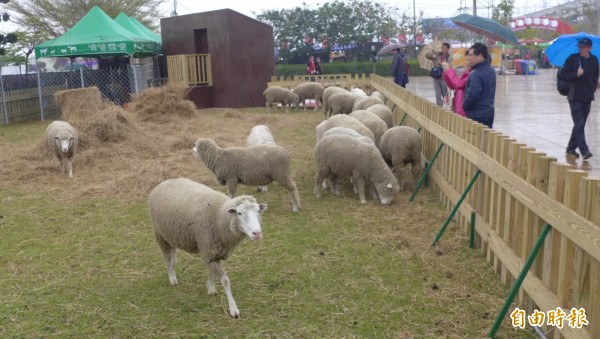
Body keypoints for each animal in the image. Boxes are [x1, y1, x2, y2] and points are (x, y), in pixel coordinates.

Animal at [148, 178, 268, 318]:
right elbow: (225, 281)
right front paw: (233, 309)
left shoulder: (214, 253)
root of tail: (163, 182)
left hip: (171, 234)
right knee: (166, 257)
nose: (257, 233)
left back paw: (173, 269)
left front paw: (210, 288)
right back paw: (172, 278)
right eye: (239, 213)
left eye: (258, 211)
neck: (220, 216)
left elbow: (212, 272)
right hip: (160, 234)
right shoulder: (208, 250)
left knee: (172, 256)